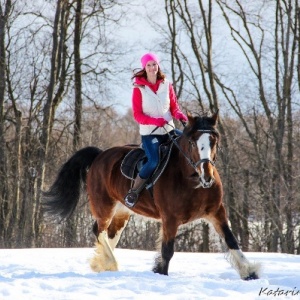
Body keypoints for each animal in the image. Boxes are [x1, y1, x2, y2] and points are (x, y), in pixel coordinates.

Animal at [42, 111, 260, 280]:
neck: (192, 180)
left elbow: (231, 241)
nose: (207, 176)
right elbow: (167, 250)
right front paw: (161, 273)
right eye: (192, 142)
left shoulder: (216, 212)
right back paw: (110, 263)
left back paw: (102, 262)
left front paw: (249, 272)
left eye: (214, 141)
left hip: (122, 212)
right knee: (98, 230)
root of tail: (99, 155)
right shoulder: (170, 218)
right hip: (104, 206)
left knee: (110, 235)